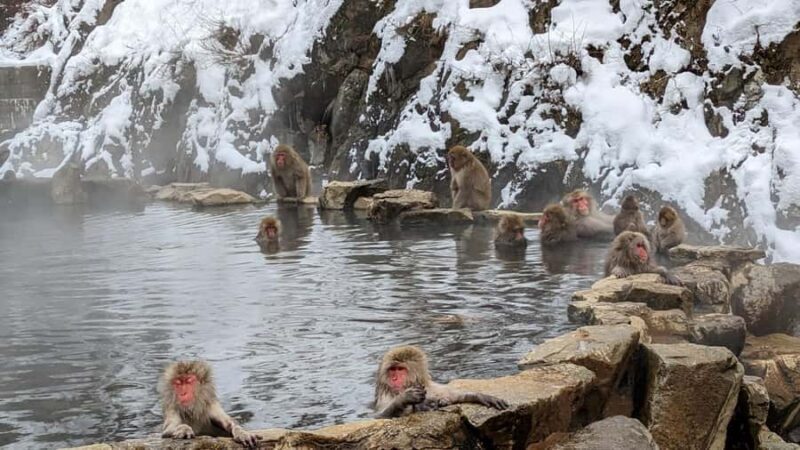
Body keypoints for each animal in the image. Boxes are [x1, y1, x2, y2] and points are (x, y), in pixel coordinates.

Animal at [373, 345, 509, 418]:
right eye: (392, 370)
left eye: (400, 369)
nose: (394, 379)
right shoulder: (386, 395)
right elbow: (378, 416)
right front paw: (404, 398)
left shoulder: (432, 388)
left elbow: (451, 396)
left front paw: (479, 396)